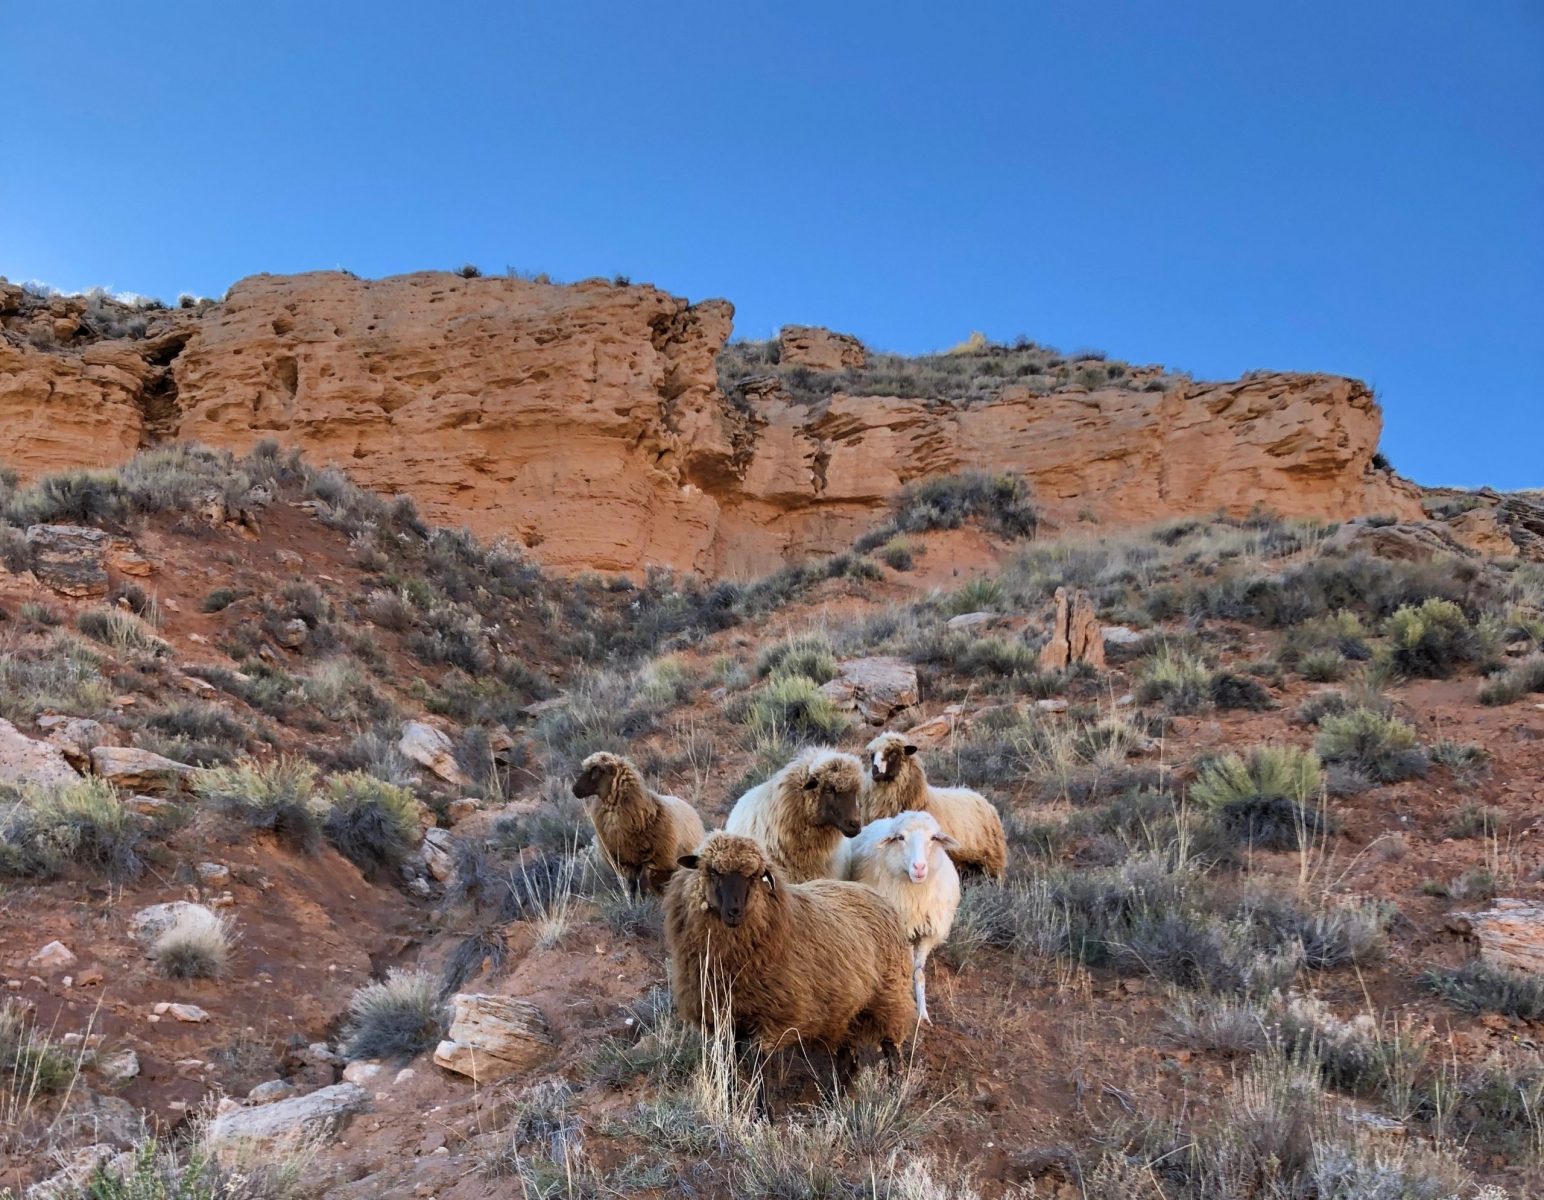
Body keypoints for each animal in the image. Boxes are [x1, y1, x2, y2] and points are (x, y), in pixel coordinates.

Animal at [572, 751, 705, 896]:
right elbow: (632, 886)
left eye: (598, 771)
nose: (574, 789)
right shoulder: (629, 861)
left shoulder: (651, 859)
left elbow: (643, 883)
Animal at [665, 831, 915, 1074]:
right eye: (713, 872)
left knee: (892, 1054)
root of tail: (876, 895)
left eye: (753, 876)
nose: (734, 912)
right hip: (846, 1016)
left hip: (890, 998)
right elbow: (731, 1064)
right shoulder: (729, 1018)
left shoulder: (771, 1020)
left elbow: (760, 1070)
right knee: (848, 1064)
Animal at [843, 811, 960, 1023]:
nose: (919, 867)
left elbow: (919, 973)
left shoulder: (927, 934)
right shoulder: (901, 931)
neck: (916, 895)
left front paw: (923, 1014)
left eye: (933, 838)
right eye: (900, 838)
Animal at [863, 732, 1007, 881]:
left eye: (893, 753)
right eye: (872, 755)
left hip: (991, 860)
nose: (875, 771)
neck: (923, 800)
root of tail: (981, 797)